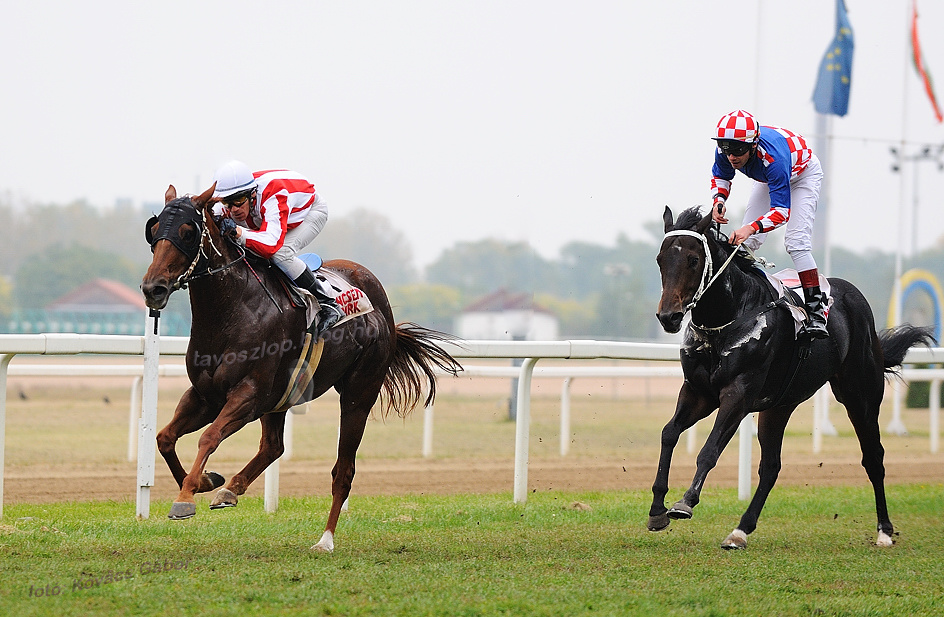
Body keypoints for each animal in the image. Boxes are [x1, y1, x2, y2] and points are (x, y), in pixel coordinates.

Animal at [140, 184, 460, 552]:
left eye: (188, 231)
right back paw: (231, 489)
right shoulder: (206, 395)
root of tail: (383, 308)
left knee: (343, 471)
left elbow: (209, 437)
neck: (233, 310)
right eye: (154, 229)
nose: (153, 288)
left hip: (358, 394)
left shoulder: (248, 395)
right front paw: (204, 482)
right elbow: (164, 437)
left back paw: (325, 539)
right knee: (273, 446)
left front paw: (185, 498)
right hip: (281, 397)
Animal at [648, 207, 928, 548]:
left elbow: (710, 449)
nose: (669, 317)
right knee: (771, 467)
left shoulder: (738, 394)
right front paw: (657, 508)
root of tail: (854, 297)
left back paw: (885, 531)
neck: (729, 316)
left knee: (873, 457)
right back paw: (740, 531)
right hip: (778, 407)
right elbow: (669, 434)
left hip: (860, 395)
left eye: (693, 259)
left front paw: (685, 502)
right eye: (661, 259)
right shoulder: (697, 393)